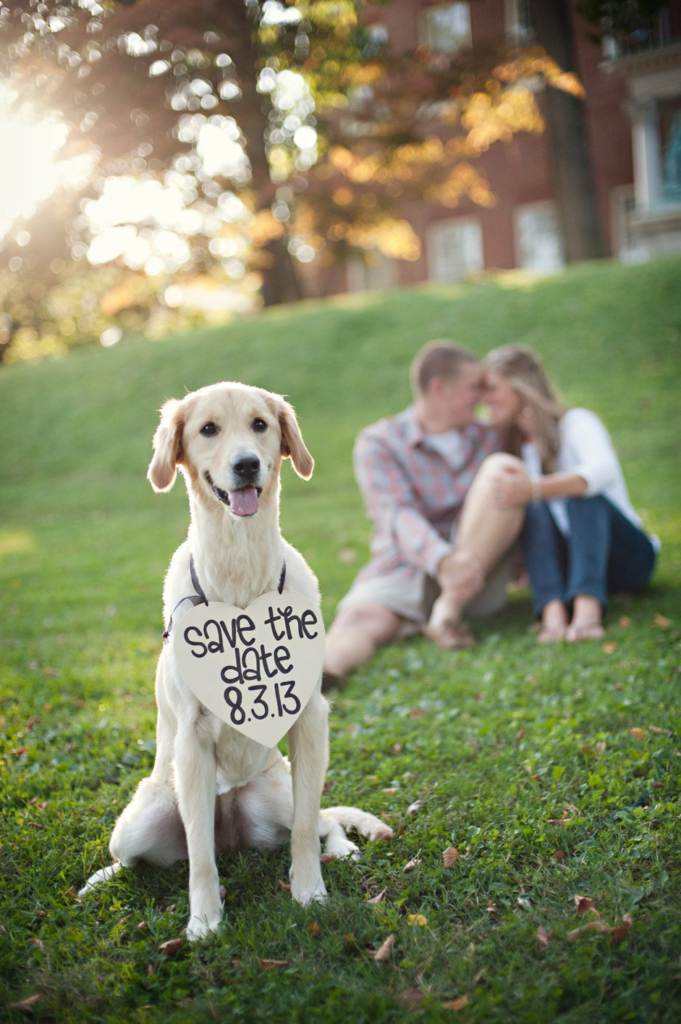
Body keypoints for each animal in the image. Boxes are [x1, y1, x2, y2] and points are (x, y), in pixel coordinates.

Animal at [80, 380, 391, 937]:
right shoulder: (192, 740)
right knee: (138, 857)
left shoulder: (310, 719)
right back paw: (101, 878)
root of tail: (235, 837)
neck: (241, 568)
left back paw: (343, 847)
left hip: (278, 791)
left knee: (324, 819)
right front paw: (204, 921)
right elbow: (200, 856)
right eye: (208, 429)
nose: (246, 464)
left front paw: (310, 893)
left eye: (260, 425)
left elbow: (306, 829)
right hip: (142, 819)